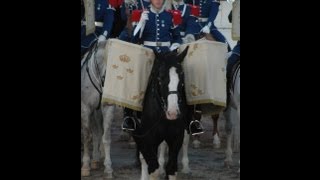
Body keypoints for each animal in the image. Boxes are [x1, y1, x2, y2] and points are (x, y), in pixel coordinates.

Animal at [132, 47, 190, 179]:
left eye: (182, 77)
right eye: (161, 77)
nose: (173, 113)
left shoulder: (176, 138)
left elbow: (171, 169)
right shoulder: (147, 139)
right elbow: (154, 170)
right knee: (144, 159)